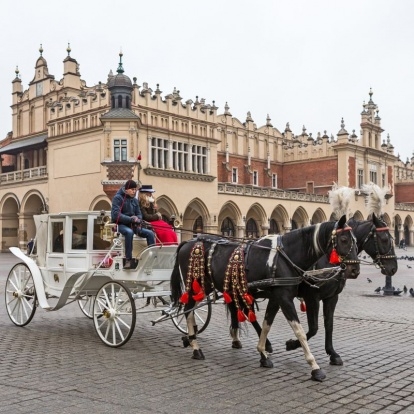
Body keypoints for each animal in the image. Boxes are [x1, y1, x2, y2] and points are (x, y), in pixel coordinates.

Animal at [171, 215, 360, 380]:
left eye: (356, 241)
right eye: (344, 240)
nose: (355, 270)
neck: (286, 257)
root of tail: (189, 241)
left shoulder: (279, 298)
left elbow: (267, 324)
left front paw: (263, 353)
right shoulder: (292, 298)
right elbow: (301, 331)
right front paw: (314, 366)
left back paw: (196, 339)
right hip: (198, 286)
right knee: (188, 310)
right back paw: (195, 347)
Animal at [284, 215, 398, 364]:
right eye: (384, 239)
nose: (394, 268)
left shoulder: (332, 297)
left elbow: (329, 324)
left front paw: (332, 353)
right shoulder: (312, 297)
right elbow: (313, 328)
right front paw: (292, 344)